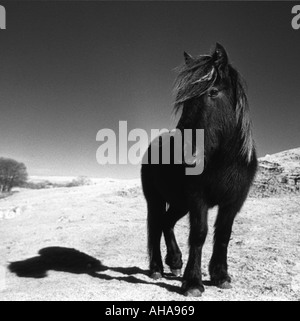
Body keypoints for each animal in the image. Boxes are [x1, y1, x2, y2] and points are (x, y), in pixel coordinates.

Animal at [142, 42, 256, 296]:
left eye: (213, 92)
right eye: (184, 100)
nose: (182, 151)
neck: (224, 161)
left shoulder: (233, 202)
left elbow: (223, 234)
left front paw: (220, 275)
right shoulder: (197, 198)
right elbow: (199, 233)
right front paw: (193, 282)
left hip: (179, 203)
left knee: (166, 223)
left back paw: (174, 262)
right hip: (156, 199)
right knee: (155, 225)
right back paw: (156, 268)